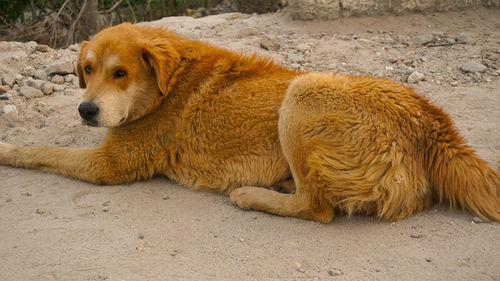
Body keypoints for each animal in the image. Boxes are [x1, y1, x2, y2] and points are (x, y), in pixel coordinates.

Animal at [0, 23, 500, 222]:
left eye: (119, 72)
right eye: (86, 70)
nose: (85, 110)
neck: (168, 82)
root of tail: (432, 122)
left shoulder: (110, 166)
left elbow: (42, 150)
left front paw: (7, 149)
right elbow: (51, 145)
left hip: (302, 96)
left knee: (318, 208)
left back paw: (253, 195)